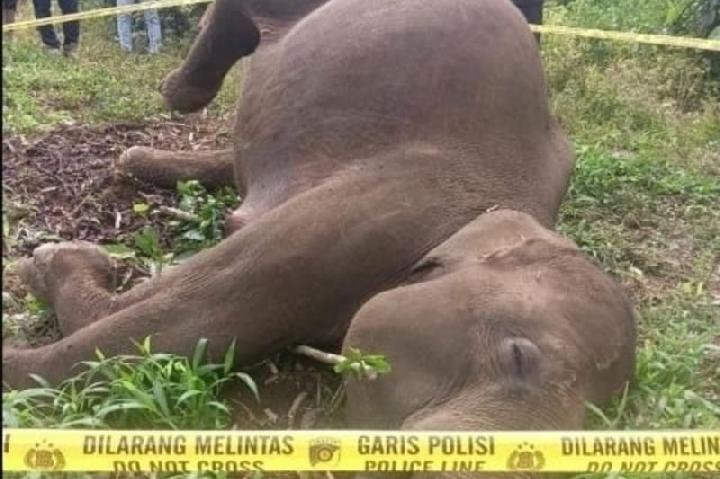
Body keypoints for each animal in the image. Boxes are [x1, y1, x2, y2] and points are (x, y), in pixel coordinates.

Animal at [4, 0, 636, 471]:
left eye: (594, 423)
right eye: (517, 355)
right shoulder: (371, 214)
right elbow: (174, 318)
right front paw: (47, 263)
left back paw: (140, 158)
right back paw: (176, 93)